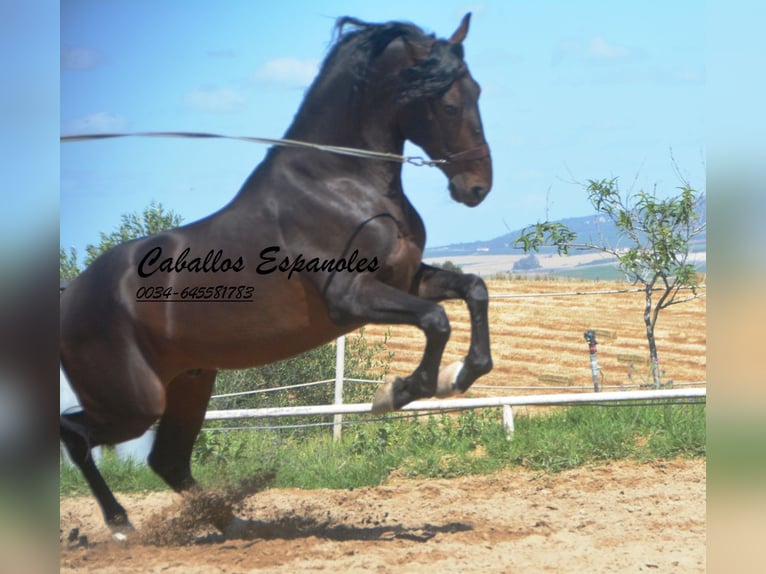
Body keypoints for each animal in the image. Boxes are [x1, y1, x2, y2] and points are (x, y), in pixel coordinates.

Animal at [58, 12, 492, 536]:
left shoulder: (405, 280)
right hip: (134, 403)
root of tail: (69, 295)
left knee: (167, 460)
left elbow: (474, 290)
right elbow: (435, 320)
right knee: (76, 433)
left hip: (188, 384)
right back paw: (122, 523)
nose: (478, 188)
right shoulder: (351, 297)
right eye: (448, 104)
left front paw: (460, 375)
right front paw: (398, 392)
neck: (341, 182)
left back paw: (229, 523)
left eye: (477, 91)